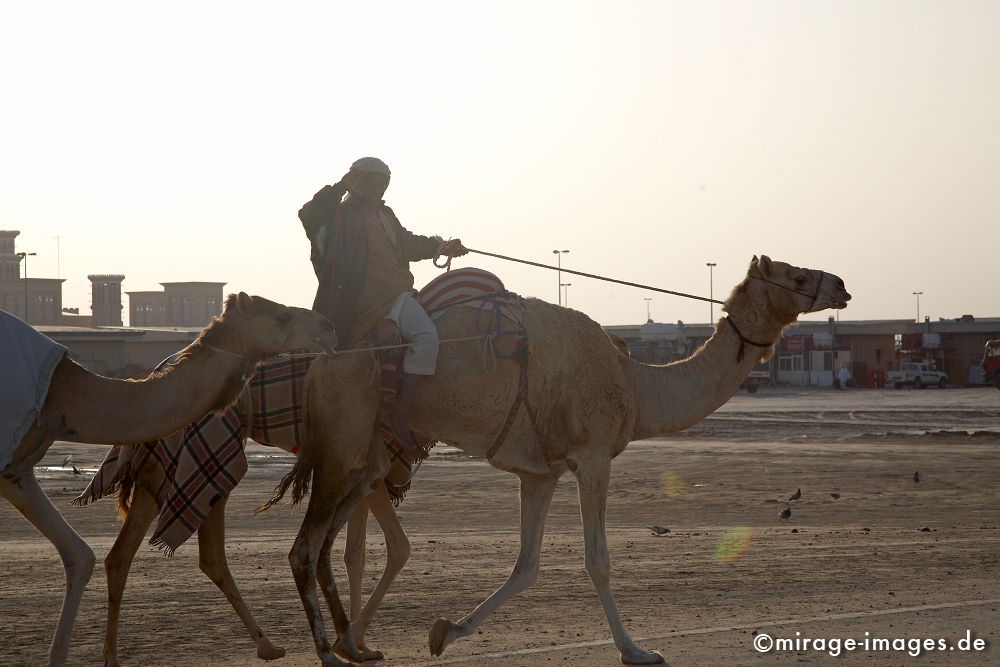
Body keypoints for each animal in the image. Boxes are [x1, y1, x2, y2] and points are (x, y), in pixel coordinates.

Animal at [0, 294, 338, 667]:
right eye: (280, 316)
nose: (327, 326)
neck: (61, 394)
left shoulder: (16, 470)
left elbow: (80, 557)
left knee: (118, 555)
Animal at [270, 253, 848, 664]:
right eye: (796, 276)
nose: (841, 285)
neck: (635, 382)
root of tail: (319, 365)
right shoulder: (592, 457)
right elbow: (598, 562)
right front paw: (637, 650)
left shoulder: (539, 472)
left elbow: (526, 565)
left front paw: (446, 631)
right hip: (345, 440)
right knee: (305, 546)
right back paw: (329, 651)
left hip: (366, 452)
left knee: (325, 542)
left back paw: (350, 643)